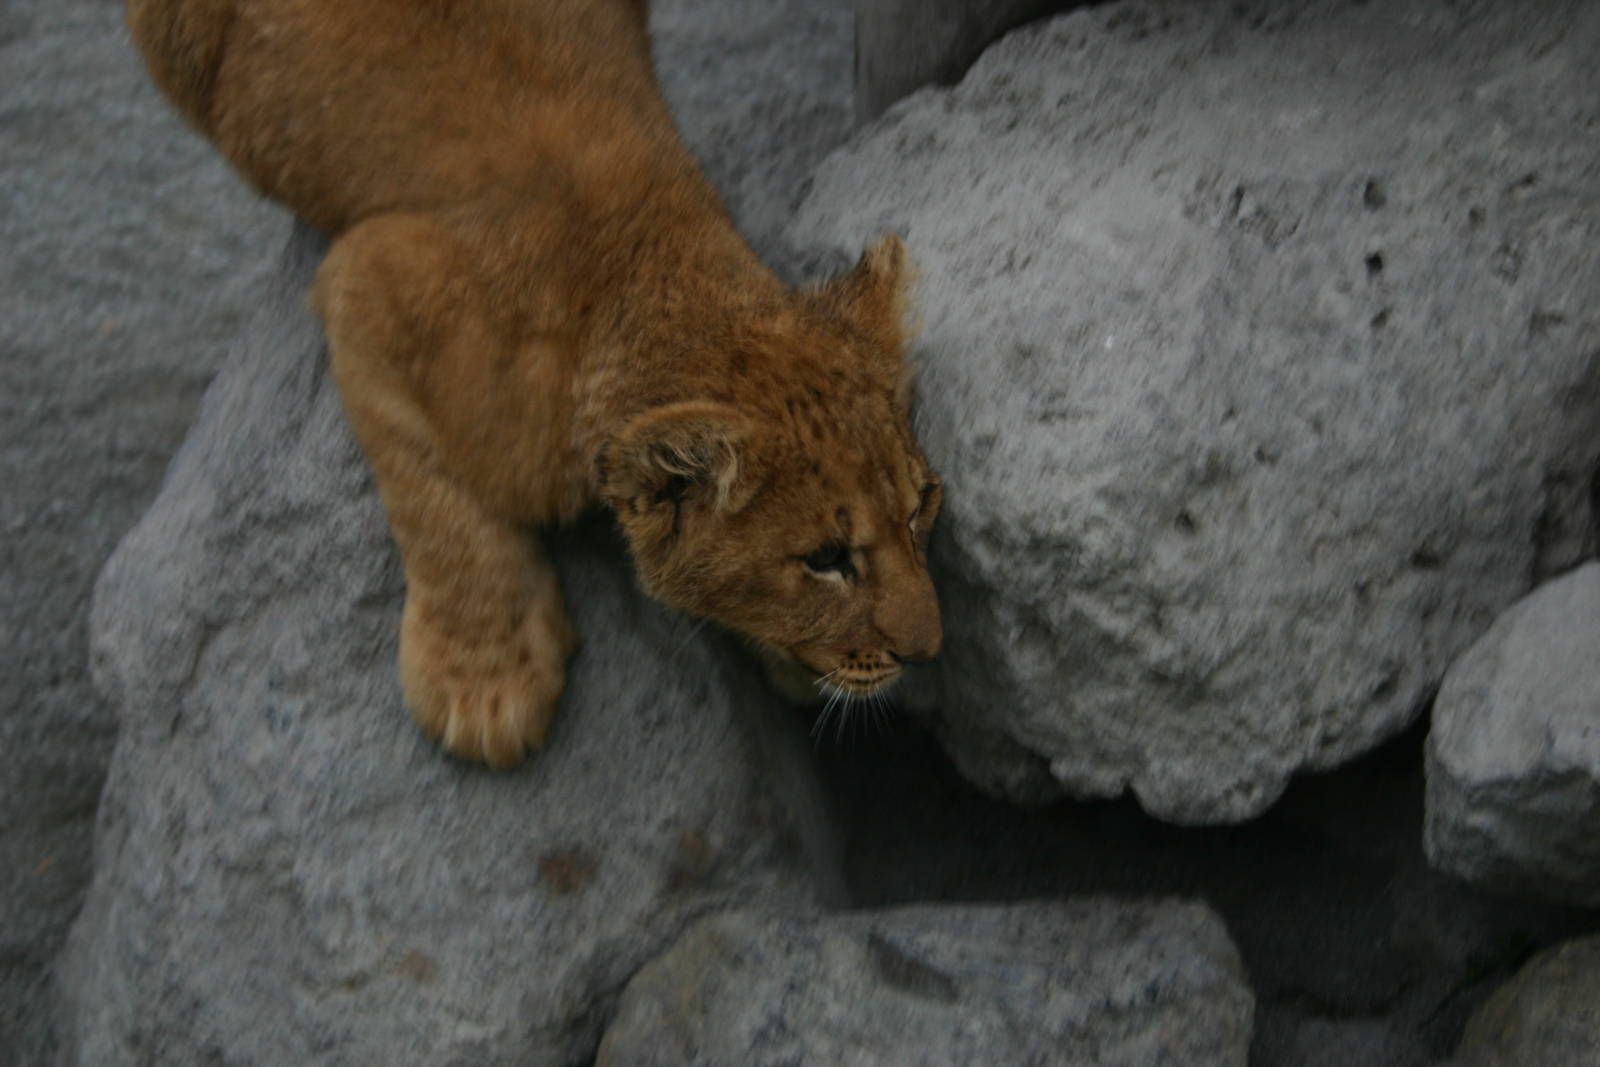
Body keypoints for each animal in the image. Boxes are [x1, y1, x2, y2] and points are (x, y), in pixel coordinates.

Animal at [126, 0, 943, 766]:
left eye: (921, 508)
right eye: (826, 560)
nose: (930, 650)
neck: (655, 268)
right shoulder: (370, 274)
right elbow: (435, 503)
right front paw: (483, 688)